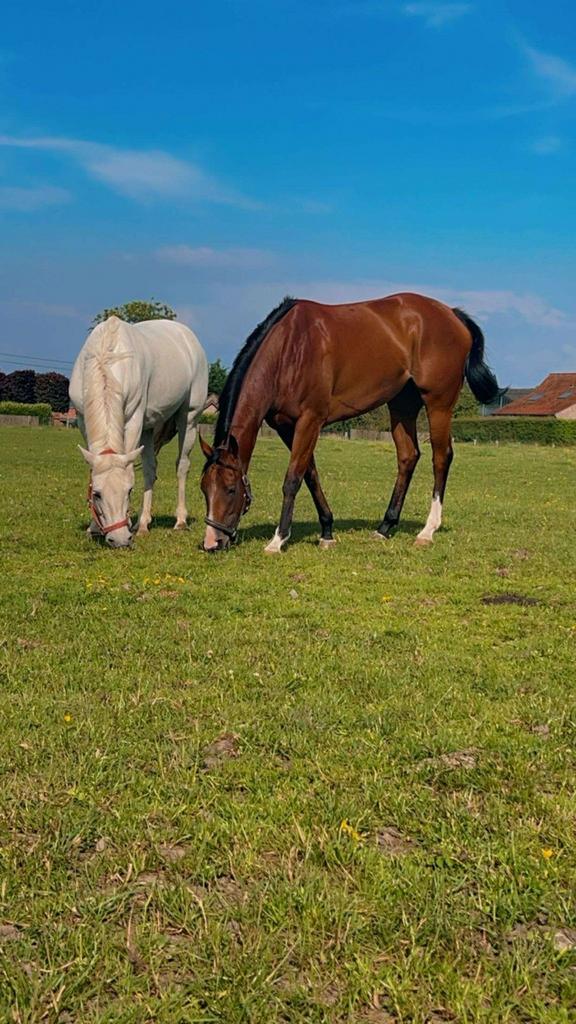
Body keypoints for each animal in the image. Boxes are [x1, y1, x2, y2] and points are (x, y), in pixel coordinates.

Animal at [70, 315, 208, 547]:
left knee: (182, 466)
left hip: (189, 418)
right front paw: (93, 528)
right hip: (149, 428)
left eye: (129, 491)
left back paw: (180, 521)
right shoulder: (82, 419)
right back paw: (142, 523)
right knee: (150, 469)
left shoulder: (133, 418)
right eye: (97, 494)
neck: (107, 360)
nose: (120, 539)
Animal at [199, 292, 500, 553]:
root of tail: (452, 314)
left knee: (441, 457)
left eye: (230, 489)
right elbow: (310, 475)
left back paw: (427, 530)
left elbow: (293, 478)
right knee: (408, 456)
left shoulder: (310, 420)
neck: (290, 348)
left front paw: (278, 540)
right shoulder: (285, 426)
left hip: (438, 403)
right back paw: (385, 527)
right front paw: (327, 532)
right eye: (203, 488)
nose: (212, 543)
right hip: (402, 404)